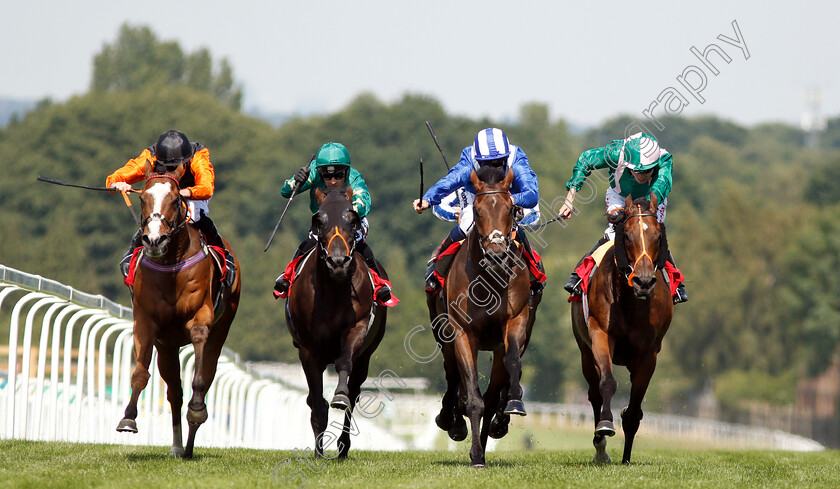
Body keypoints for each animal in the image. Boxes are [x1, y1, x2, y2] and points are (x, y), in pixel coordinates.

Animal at [115, 169, 240, 458]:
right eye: (142, 198)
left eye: (174, 200)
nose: (154, 239)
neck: (171, 263)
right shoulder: (145, 322)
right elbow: (141, 373)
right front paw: (128, 418)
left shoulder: (201, 316)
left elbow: (200, 377)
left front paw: (197, 410)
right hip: (167, 347)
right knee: (174, 392)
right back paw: (177, 446)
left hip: (222, 328)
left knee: (206, 375)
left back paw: (191, 439)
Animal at [284, 186, 386, 458]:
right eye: (319, 220)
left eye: (353, 219)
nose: (338, 262)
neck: (333, 289)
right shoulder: (308, 349)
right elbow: (317, 402)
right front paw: (318, 451)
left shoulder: (357, 329)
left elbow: (344, 367)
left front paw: (339, 395)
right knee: (314, 398)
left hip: (366, 356)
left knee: (355, 391)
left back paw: (343, 445)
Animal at [430, 167, 540, 466]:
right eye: (477, 211)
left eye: (511, 208)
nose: (496, 255)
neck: (489, 280)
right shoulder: (463, 332)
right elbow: (472, 393)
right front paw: (476, 454)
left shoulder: (515, 323)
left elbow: (510, 366)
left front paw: (513, 404)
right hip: (444, 335)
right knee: (452, 375)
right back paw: (452, 420)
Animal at [568, 193, 672, 464]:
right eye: (626, 235)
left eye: (658, 236)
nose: (644, 281)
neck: (629, 301)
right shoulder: (600, 336)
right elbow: (607, 383)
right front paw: (605, 425)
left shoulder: (648, 354)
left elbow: (634, 409)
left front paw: (626, 457)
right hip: (585, 353)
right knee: (594, 392)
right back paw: (600, 448)